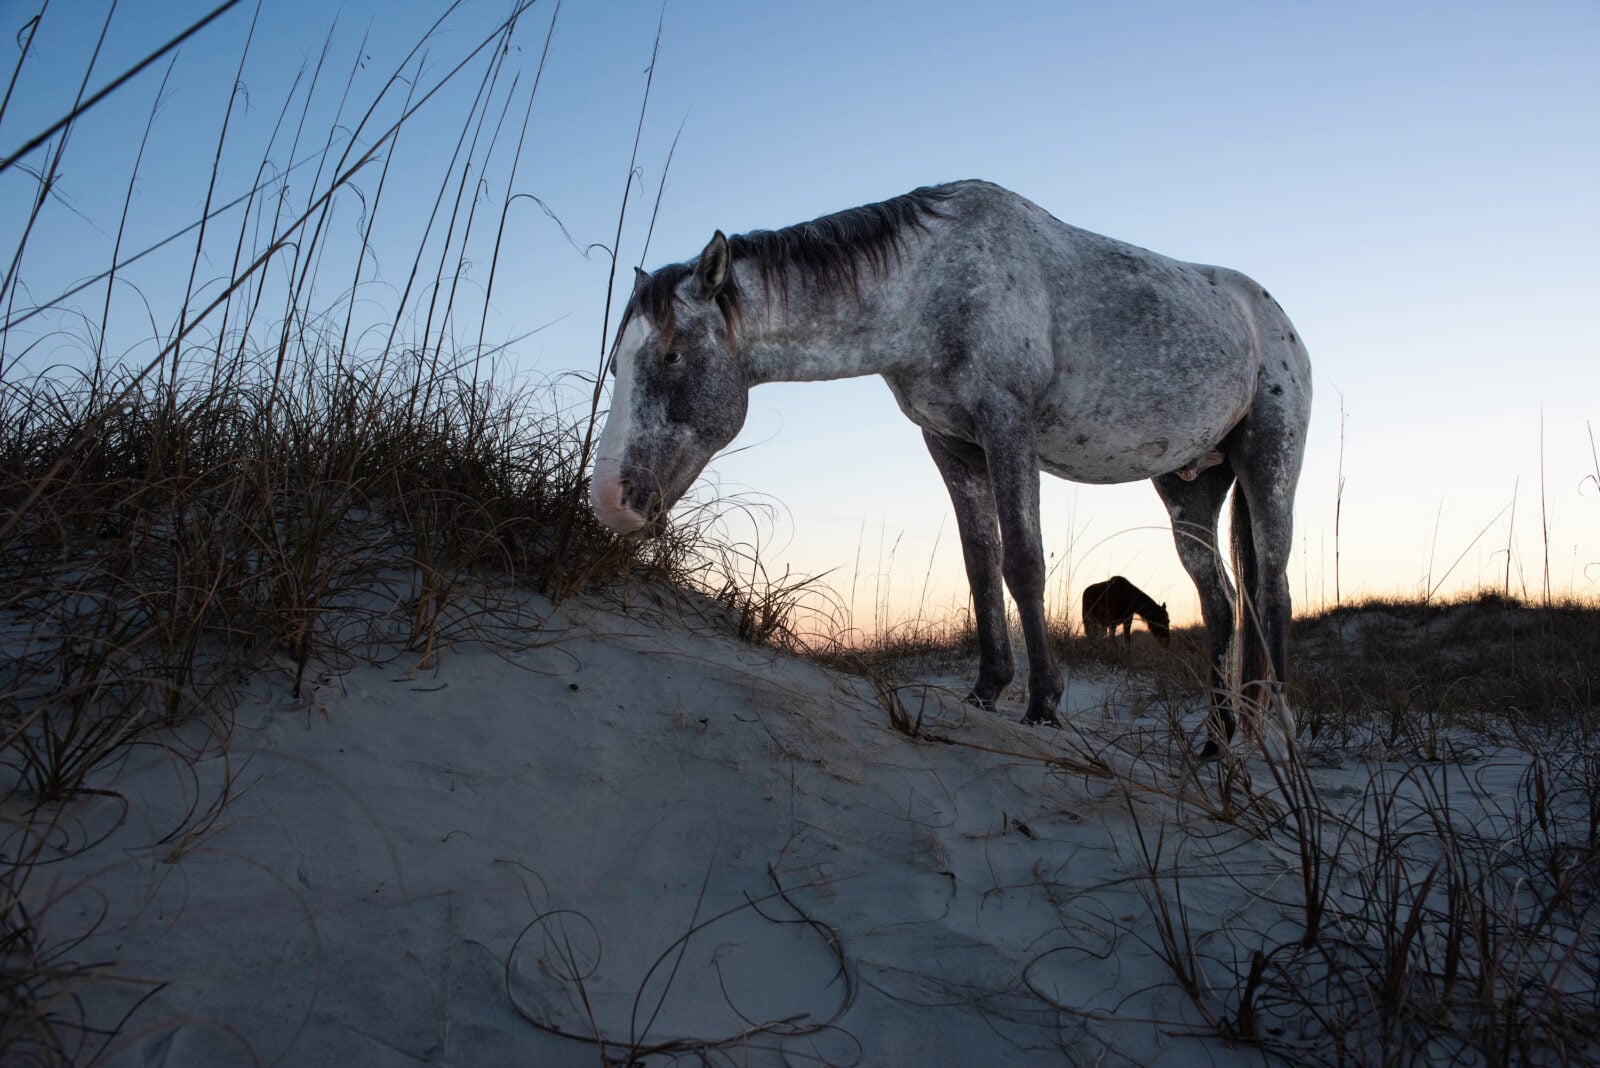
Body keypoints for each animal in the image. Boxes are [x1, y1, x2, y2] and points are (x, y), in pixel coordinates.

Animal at [588, 180, 1310, 754]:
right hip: (1192, 485)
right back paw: (1218, 739)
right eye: (616, 364)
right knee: (1221, 601)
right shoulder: (951, 443)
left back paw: (1274, 729)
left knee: (1272, 589)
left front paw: (1042, 703)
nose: (611, 501)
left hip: (1269, 461)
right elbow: (980, 562)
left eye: (673, 354)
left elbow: (1024, 561)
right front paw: (986, 691)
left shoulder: (1006, 423)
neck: (931, 285)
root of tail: (1277, 320)